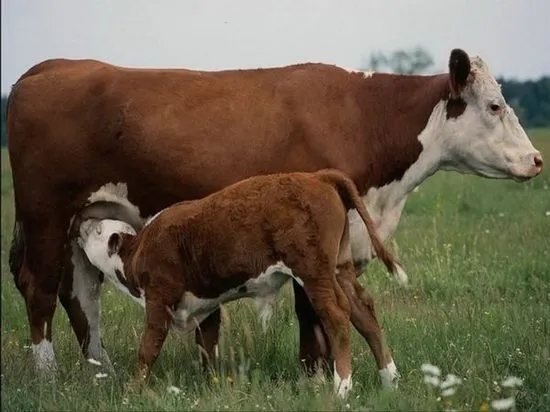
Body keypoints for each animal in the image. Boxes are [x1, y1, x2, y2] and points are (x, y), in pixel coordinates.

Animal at [72, 169, 402, 398]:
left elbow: (147, 349)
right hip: (339, 269)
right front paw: (211, 386)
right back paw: (390, 379)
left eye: (99, 230)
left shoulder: (158, 300)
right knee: (364, 312)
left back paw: (342, 387)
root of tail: (317, 176)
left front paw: (133, 389)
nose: (82, 222)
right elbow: (207, 348)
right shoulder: (204, 308)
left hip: (314, 273)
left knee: (337, 317)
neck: (139, 249)